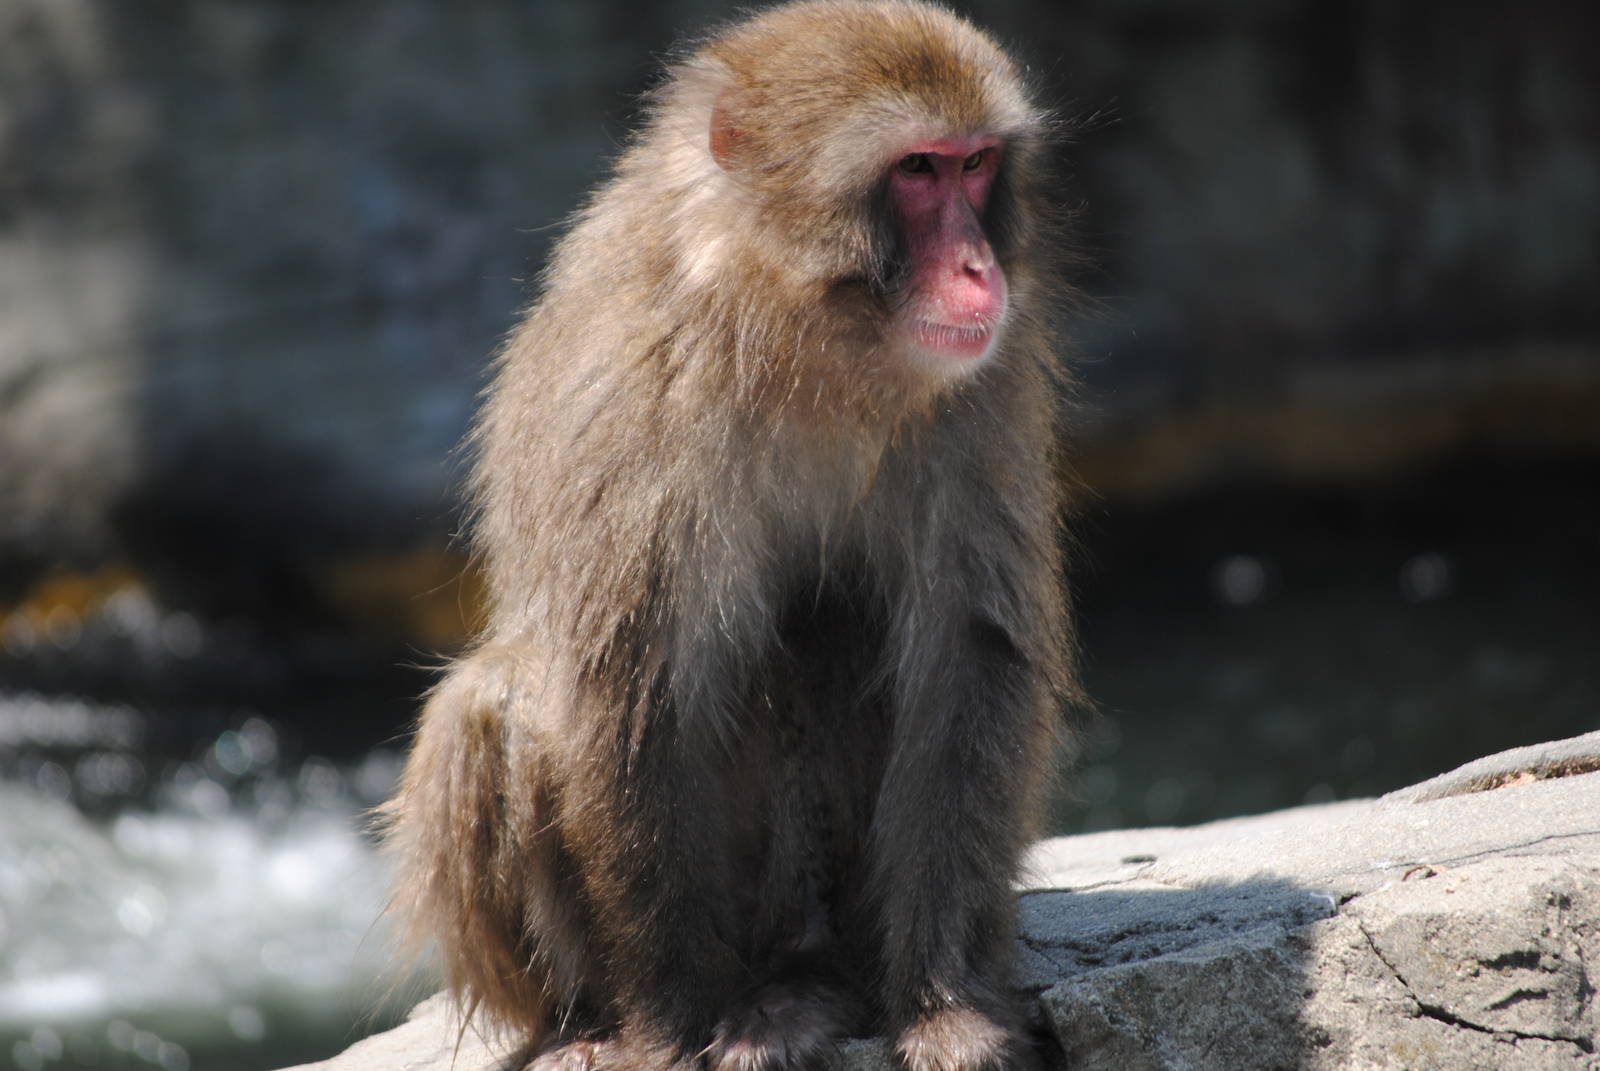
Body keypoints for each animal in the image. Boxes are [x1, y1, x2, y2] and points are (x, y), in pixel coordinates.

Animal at [382, 2, 1081, 1069]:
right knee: (488, 708)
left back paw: (807, 986)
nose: (978, 267)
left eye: (974, 167)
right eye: (917, 171)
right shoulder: (641, 387)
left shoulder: (981, 382)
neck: (803, 322)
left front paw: (945, 1001)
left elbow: (968, 652)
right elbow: (637, 690)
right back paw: (607, 1020)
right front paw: (668, 1026)